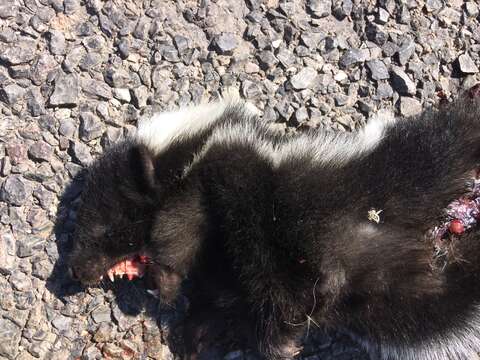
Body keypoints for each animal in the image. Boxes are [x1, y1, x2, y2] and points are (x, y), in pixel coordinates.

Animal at [68, 87, 480, 360]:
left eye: (106, 225)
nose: (77, 270)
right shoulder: (220, 273)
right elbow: (216, 299)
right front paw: (193, 333)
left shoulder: (223, 168)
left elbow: (180, 225)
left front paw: (165, 281)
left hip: (378, 177)